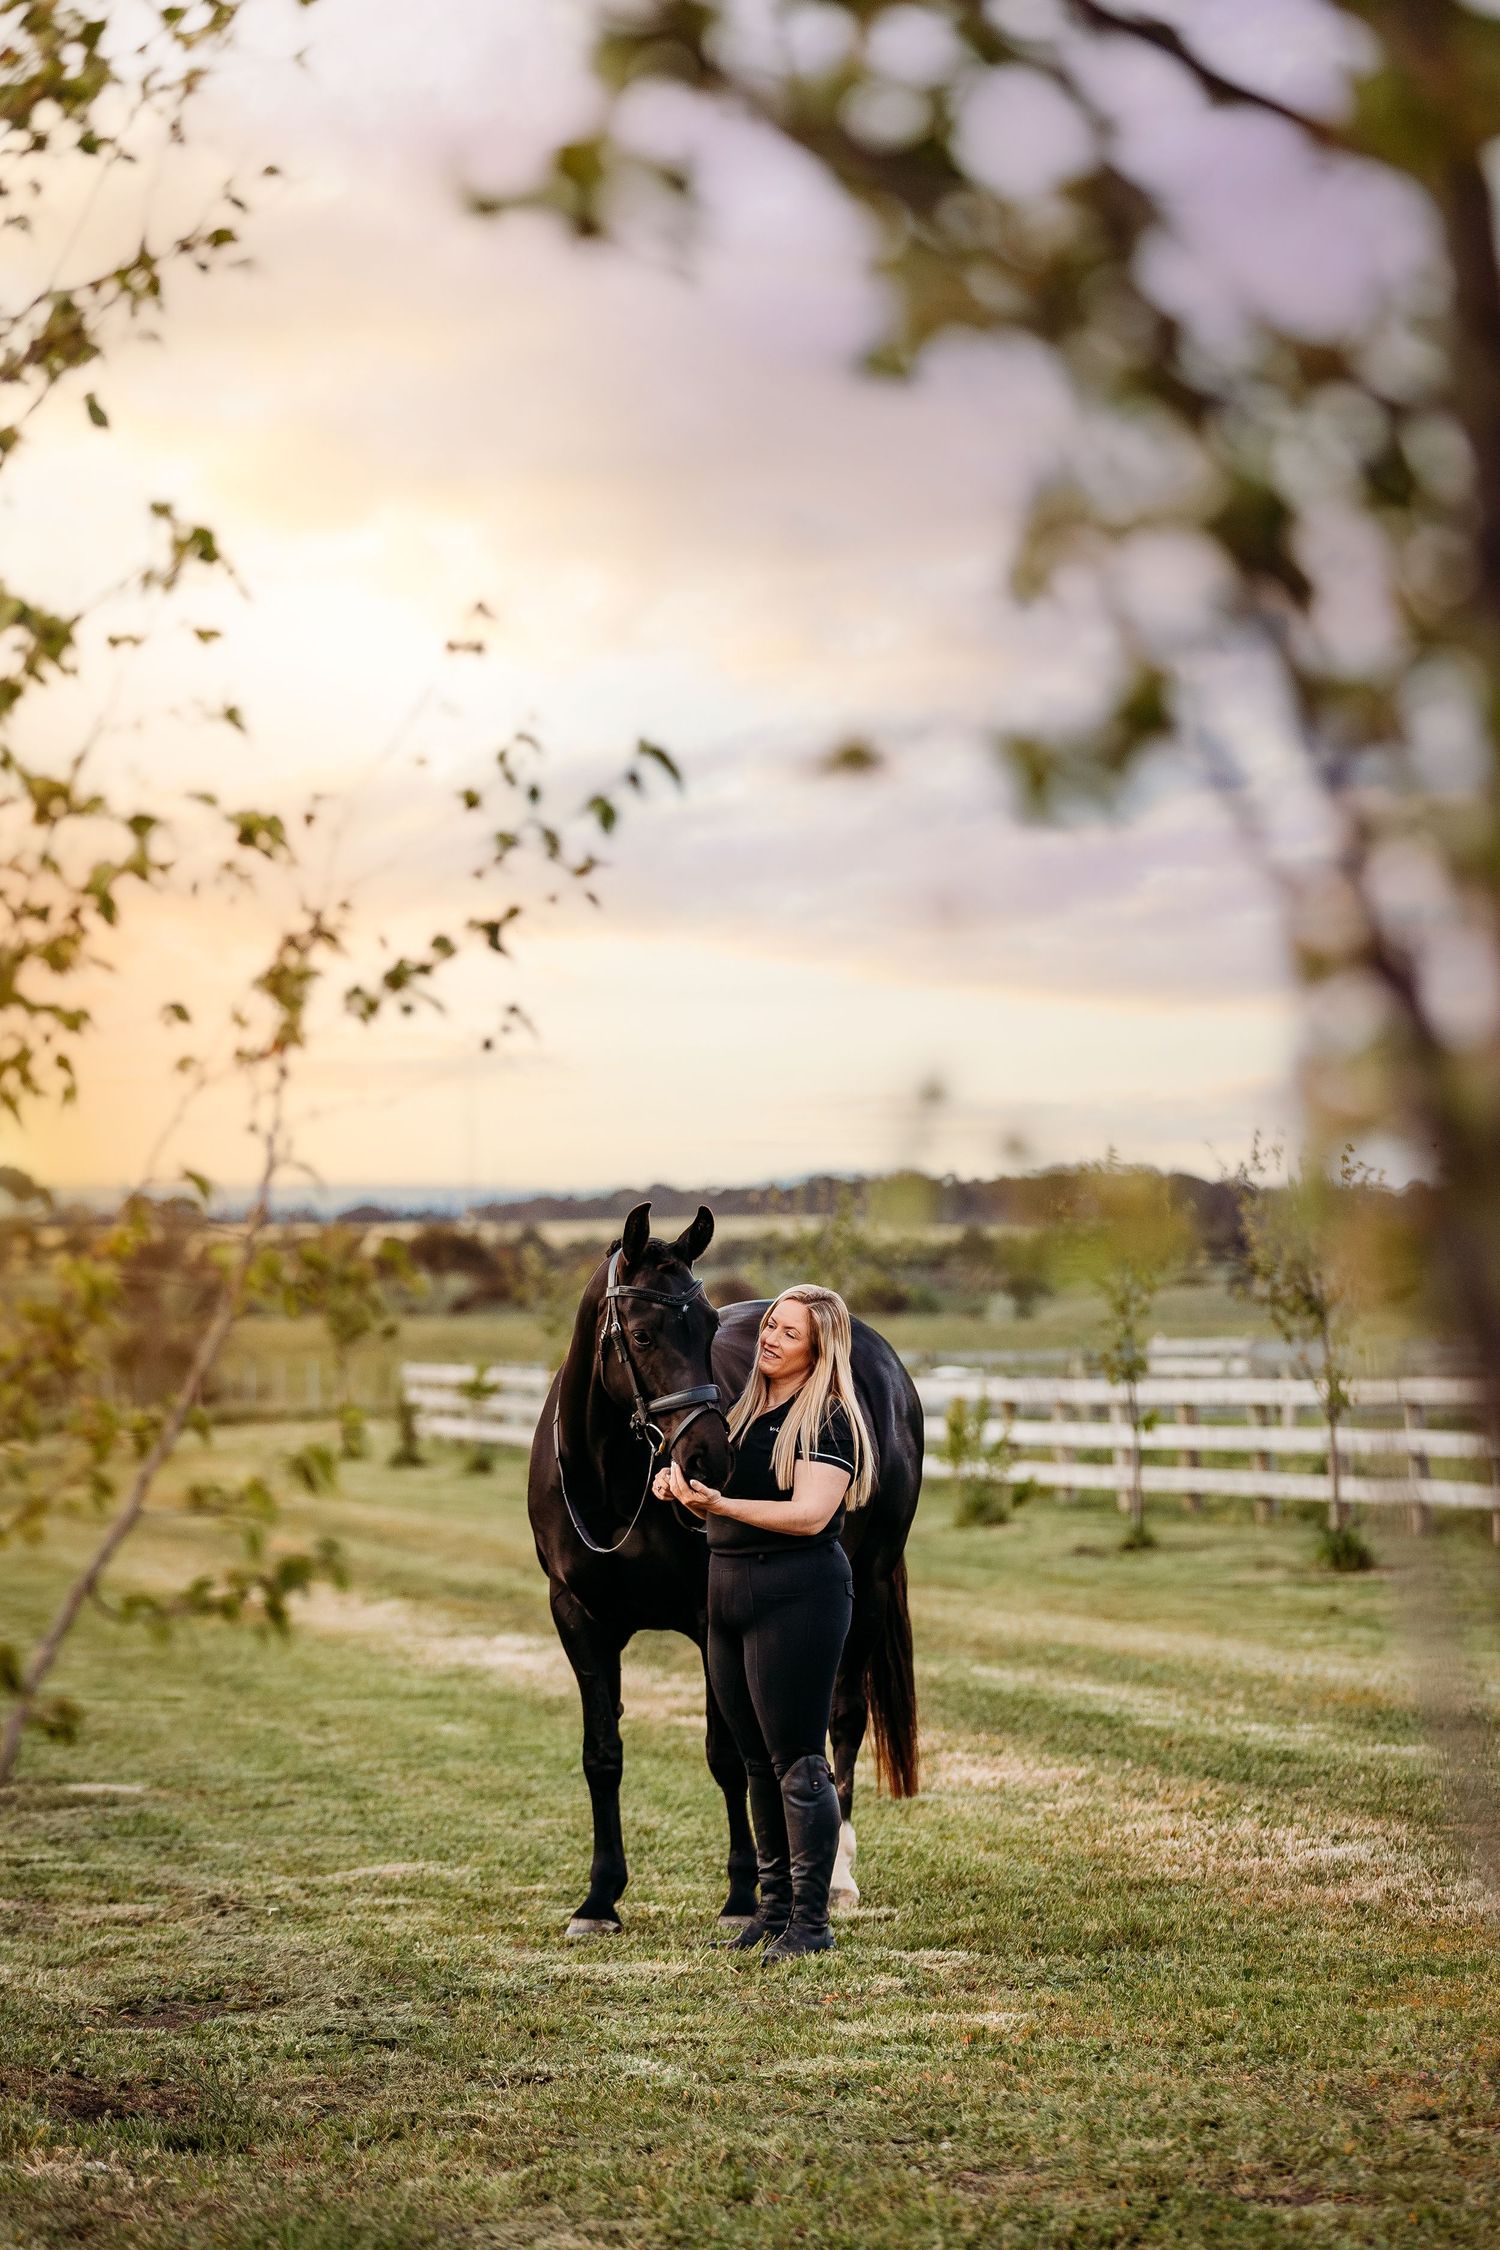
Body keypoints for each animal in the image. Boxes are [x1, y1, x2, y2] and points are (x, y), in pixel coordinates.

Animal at [527, 1198, 923, 1937]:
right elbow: (603, 1755)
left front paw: (742, 1894)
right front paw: (599, 1900)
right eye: (642, 1334)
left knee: (844, 1716)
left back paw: (838, 1877)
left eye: (711, 1327)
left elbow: (727, 1755)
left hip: (872, 1584)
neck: (612, 1486)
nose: (709, 1455)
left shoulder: (712, 1617)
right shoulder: (578, 1618)